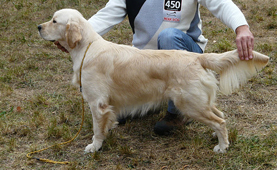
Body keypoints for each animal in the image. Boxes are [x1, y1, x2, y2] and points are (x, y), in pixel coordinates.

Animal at [37, 8, 268, 153]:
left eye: (54, 21)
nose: (39, 27)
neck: (87, 47)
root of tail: (196, 57)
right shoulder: (106, 105)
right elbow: (105, 124)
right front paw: (108, 130)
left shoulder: (97, 103)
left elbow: (96, 130)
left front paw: (95, 147)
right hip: (200, 101)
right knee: (220, 116)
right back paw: (218, 138)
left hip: (190, 103)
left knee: (219, 121)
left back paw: (222, 147)